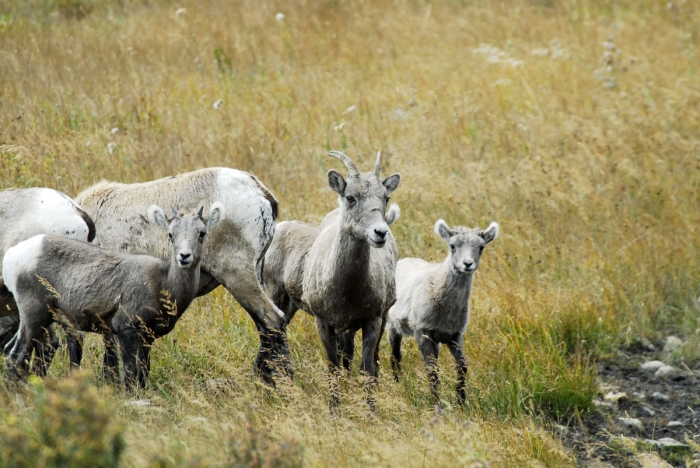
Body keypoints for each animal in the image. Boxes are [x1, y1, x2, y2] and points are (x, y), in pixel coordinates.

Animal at [2, 203, 221, 386]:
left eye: (202, 233)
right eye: (170, 234)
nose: (184, 256)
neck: (163, 283)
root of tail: (14, 255)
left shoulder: (147, 339)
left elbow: (143, 375)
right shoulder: (127, 331)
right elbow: (130, 375)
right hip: (34, 317)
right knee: (15, 359)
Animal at [388, 218, 498, 404]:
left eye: (481, 247)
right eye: (452, 246)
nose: (467, 264)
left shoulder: (455, 335)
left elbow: (462, 367)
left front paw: (461, 402)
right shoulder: (423, 333)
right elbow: (432, 371)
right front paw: (437, 404)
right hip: (391, 325)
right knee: (395, 357)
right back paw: (396, 384)